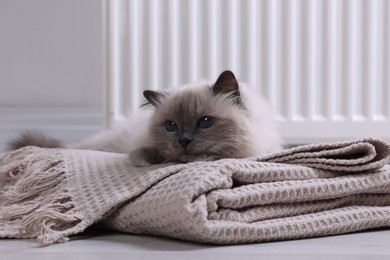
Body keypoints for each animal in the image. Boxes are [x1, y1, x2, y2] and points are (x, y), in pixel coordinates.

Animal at [7, 70, 282, 167]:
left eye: (205, 122)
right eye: (171, 126)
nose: (184, 141)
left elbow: (218, 155)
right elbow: (140, 152)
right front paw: (146, 161)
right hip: (104, 144)